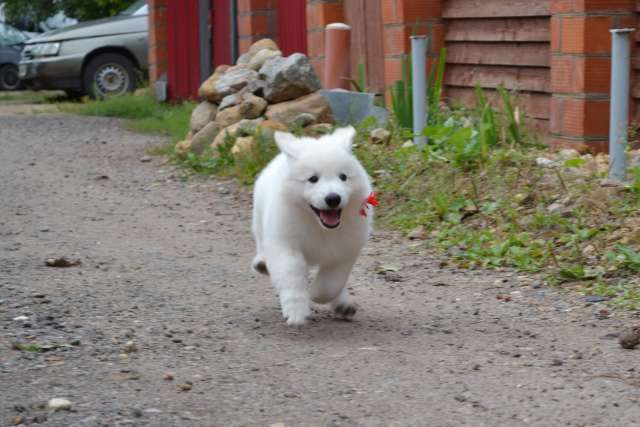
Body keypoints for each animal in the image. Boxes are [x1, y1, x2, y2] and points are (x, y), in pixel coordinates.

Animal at [251, 125, 372, 326]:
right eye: (313, 179)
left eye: (343, 177)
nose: (333, 198)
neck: (319, 226)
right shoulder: (285, 244)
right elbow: (291, 275)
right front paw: (296, 312)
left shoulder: (345, 250)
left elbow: (331, 283)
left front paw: (315, 294)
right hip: (260, 217)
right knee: (260, 240)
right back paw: (261, 263)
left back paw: (343, 305)